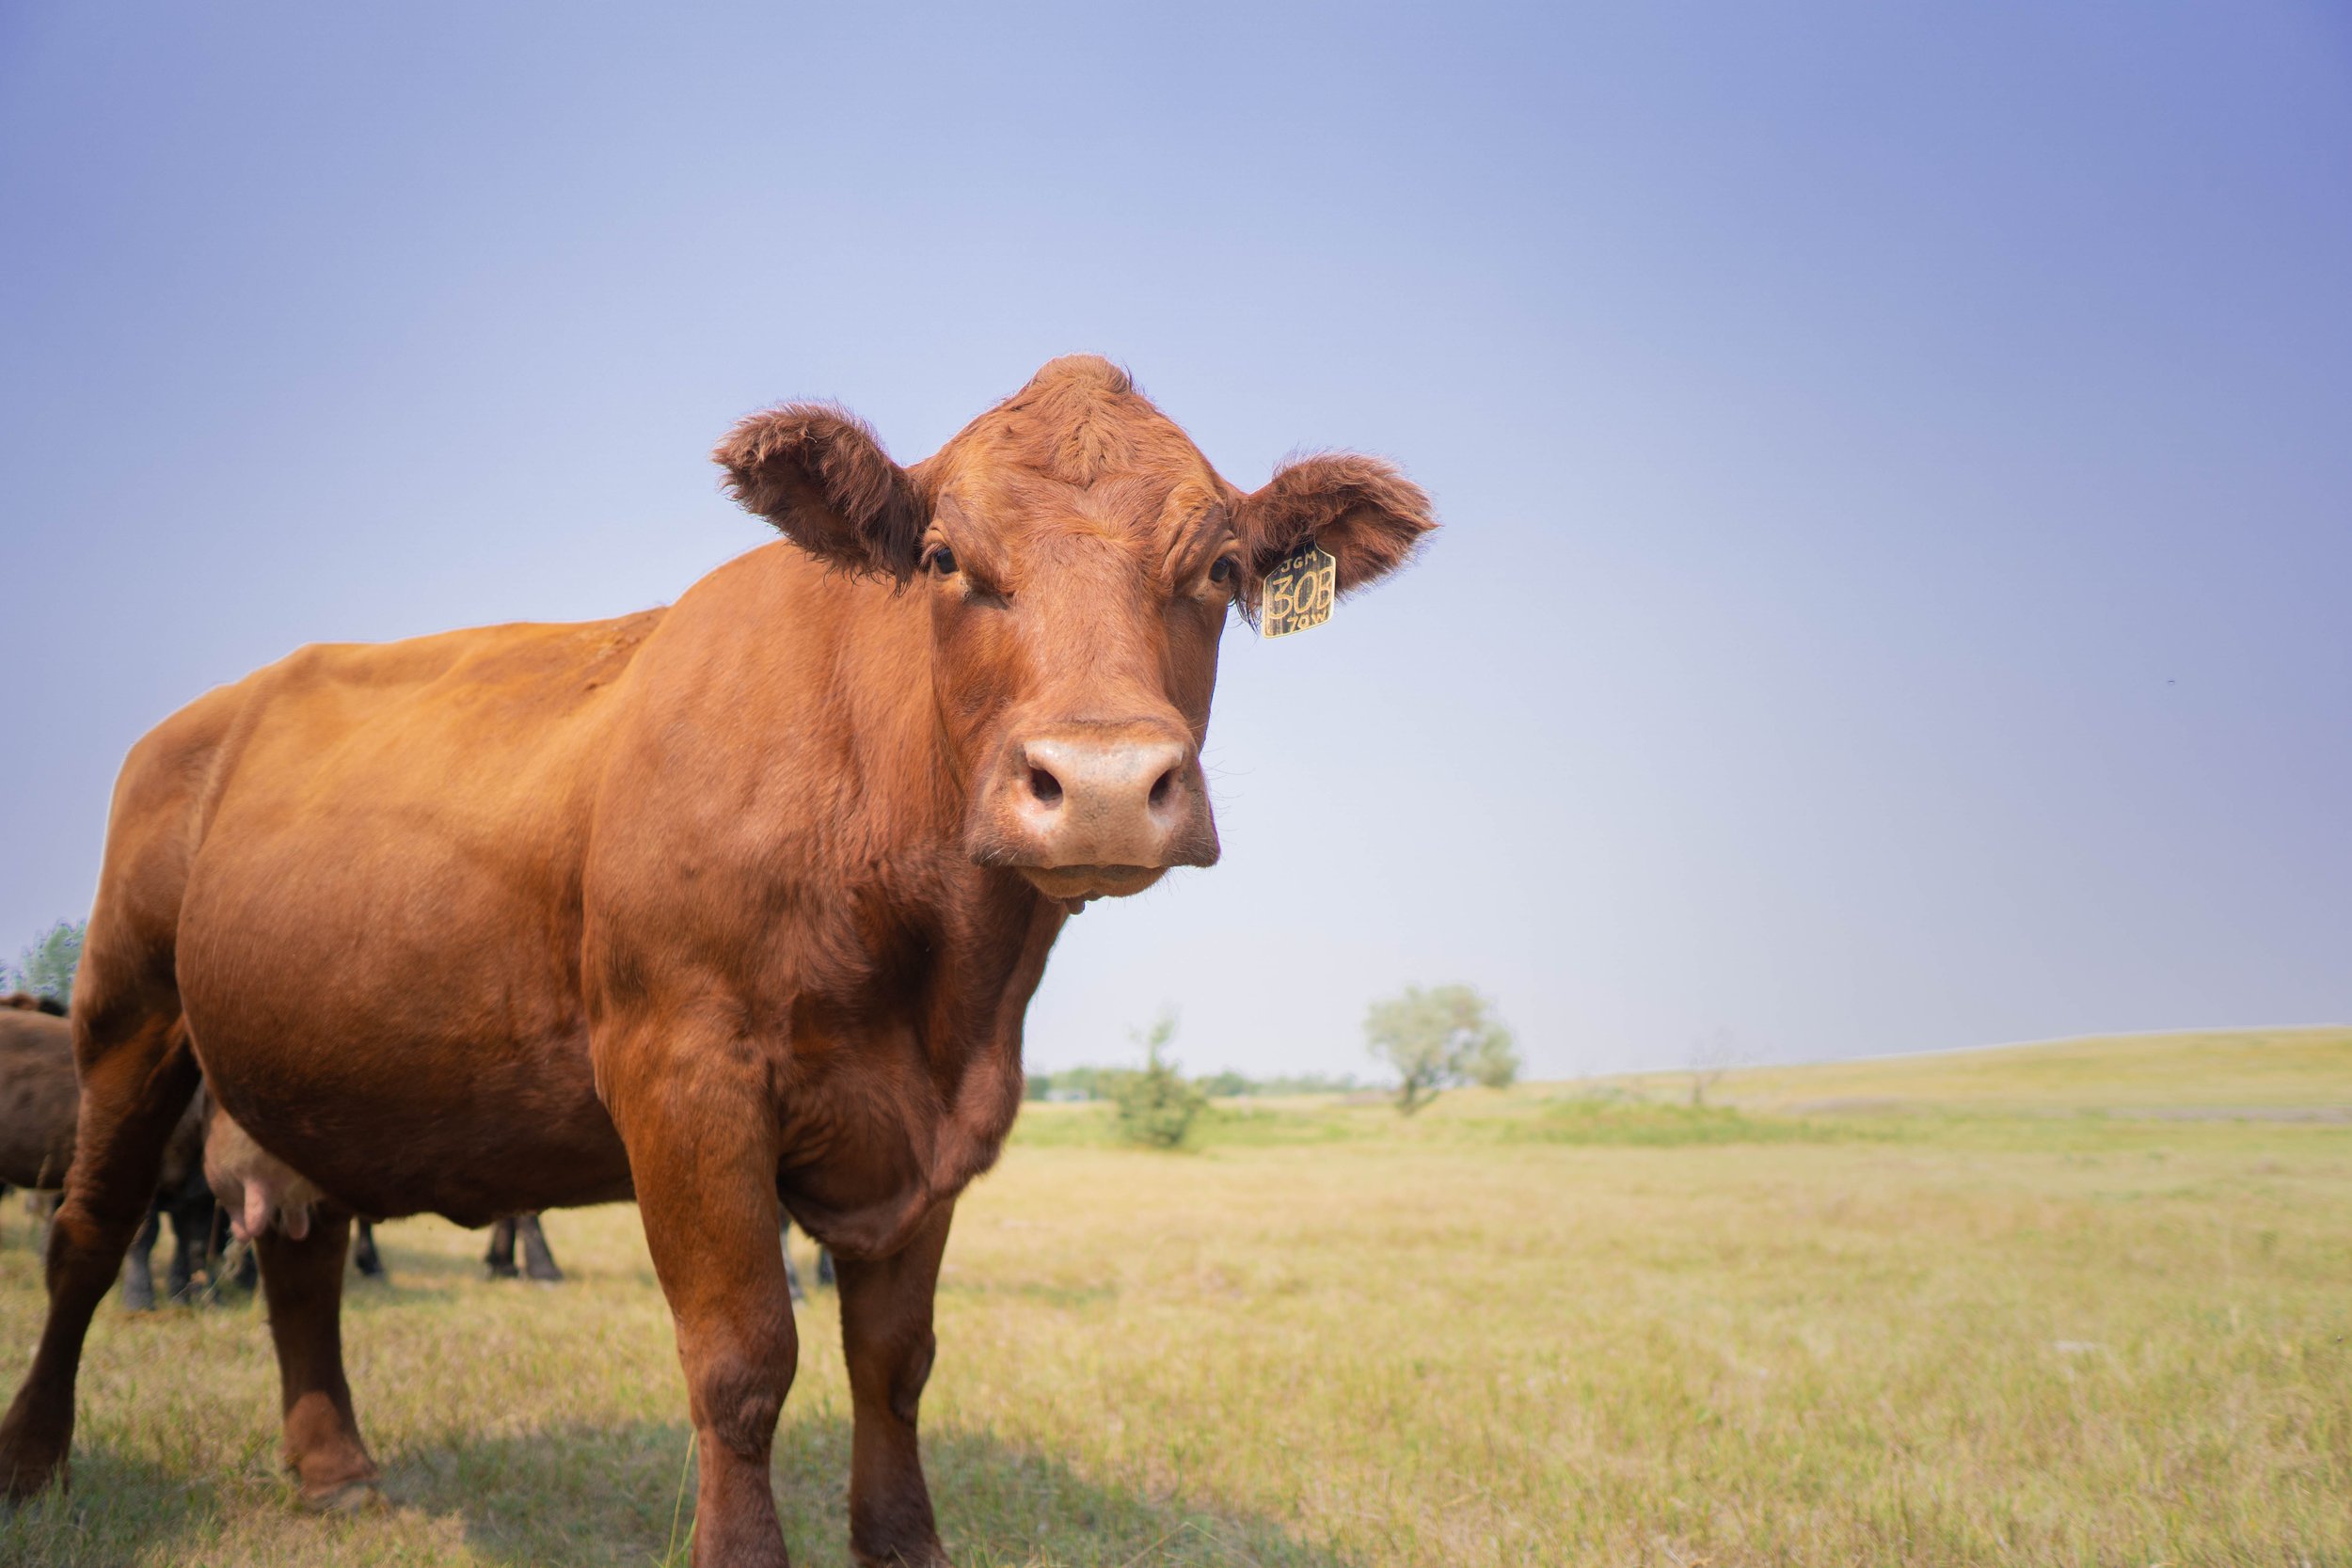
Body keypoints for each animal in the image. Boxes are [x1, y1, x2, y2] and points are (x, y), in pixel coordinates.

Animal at [0, 356, 1432, 1565]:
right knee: (87, 1236)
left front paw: (902, 1542)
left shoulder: (936, 1126)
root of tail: (220, 704)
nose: (1098, 784)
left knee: (300, 1244)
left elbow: (894, 1359)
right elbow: (744, 1359)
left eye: (1221, 564)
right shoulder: (682, 1079)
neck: (940, 980)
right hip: (127, 1015)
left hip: (311, 1059)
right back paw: (34, 1464)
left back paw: (337, 1468)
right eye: (944, 556)